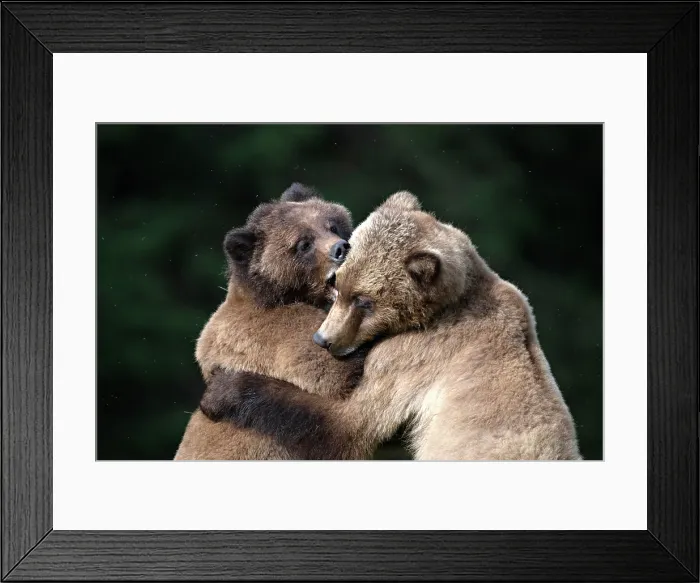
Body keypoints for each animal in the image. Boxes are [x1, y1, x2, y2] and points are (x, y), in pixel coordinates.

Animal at [199, 190, 582, 460]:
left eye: (364, 301)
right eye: (339, 286)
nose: (323, 339)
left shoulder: (419, 354)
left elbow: (349, 425)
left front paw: (221, 390)